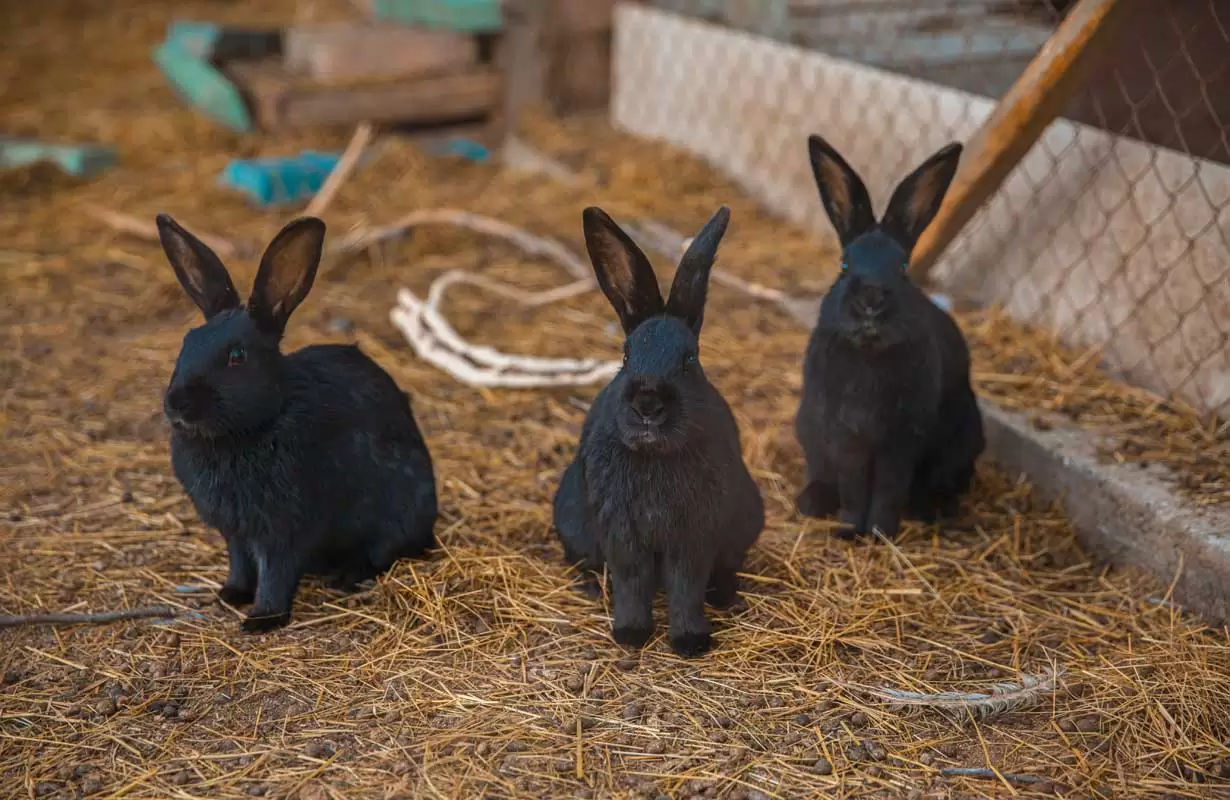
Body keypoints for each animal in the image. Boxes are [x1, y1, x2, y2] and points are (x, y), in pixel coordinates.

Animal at [156, 214, 438, 632]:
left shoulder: (284, 528)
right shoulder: (235, 532)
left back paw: (346, 577)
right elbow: (240, 564)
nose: (176, 404)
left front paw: (262, 619)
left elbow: (276, 572)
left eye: (237, 356)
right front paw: (230, 596)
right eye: (186, 344)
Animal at [552, 205, 765, 658]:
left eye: (689, 359)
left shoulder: (695, 534)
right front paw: (631, 635)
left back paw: (725, 595)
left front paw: (690, 642)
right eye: (626, 356)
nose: (648, 405)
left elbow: (686, 587)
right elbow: (632, 582)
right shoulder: (622, 532)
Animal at [794, 134, 984, 540]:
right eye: (844, 264)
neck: (869, 355)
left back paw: (935, 510)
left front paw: (881, 532)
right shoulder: (847, 436)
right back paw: (811, 502)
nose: (870, 300)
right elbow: (853, 486)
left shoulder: (901, 439)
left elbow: (888, 488)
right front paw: (850, 530)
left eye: (903, 267)